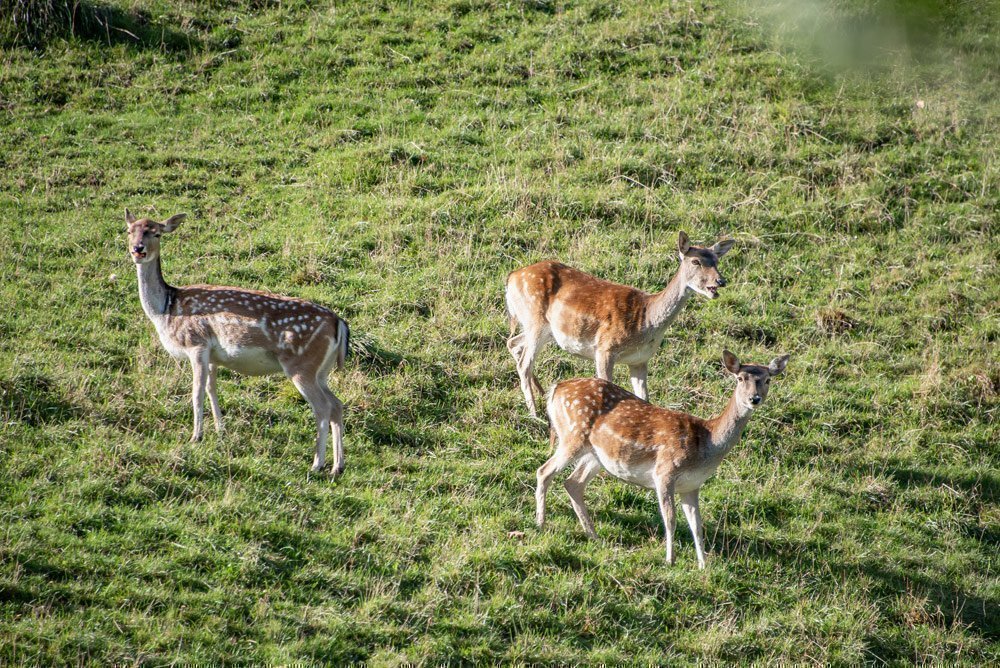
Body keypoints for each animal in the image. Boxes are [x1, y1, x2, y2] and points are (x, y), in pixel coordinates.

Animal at [127, 209, 350, 474]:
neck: (166, 310)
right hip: (322, 370)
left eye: (156, 233)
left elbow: (197, 391)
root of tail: (339, 322)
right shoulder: (213, 355)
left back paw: (317, 464)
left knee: (323, 407)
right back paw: (337, 466)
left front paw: (196, 437)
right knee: (337, 404)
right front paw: (220, 430)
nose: (138, 249)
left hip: (301, 365)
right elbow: (212, 388)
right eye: (129, 231)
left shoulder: (196, 342)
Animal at [508, 232, 736, 414]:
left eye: (716, 260)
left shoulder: (639, 360)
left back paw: (541, 393)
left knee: (513, 343)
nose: (721, 281)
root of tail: (511, 277)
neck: (647, 321)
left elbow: (645, 398)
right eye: (696, 261)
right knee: (524, 363)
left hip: (542, 328)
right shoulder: (605, 348)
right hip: (535, 319)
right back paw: (535, 413)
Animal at [536, 350, 784, 568]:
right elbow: (670, 519)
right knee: (544, 471)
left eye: (768, 379)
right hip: (573, 436)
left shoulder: (692, 485)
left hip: (595, 455)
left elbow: (697, 525)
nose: (754, 398)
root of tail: (556, 389)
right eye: (741, 378)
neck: (707, 443)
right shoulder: (665, 471)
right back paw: (541, 523)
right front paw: (670, 560)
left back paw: (593, 535)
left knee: (573, 482)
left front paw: (703, 564)